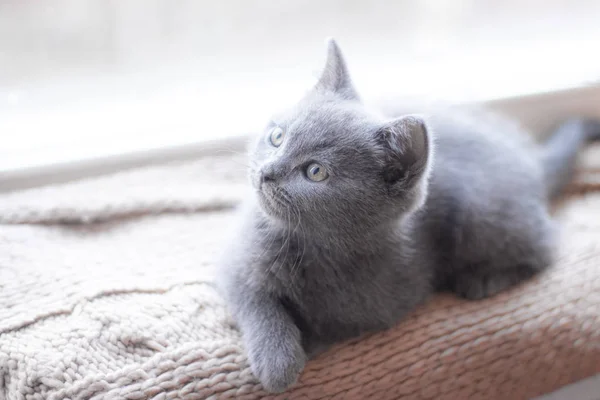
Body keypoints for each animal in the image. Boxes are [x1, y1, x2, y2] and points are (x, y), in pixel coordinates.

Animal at [216, 39, 600, 392]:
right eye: (277, 136)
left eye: (315, 172)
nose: (266, 173)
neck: (308, 245)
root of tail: (530, 160)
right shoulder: (234, 261)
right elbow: (255, 301)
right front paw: (277, 360)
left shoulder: (384, 303)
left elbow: (329, 323)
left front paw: (299, 348)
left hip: (480, 211)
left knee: (544, 245)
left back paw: (483, 279)